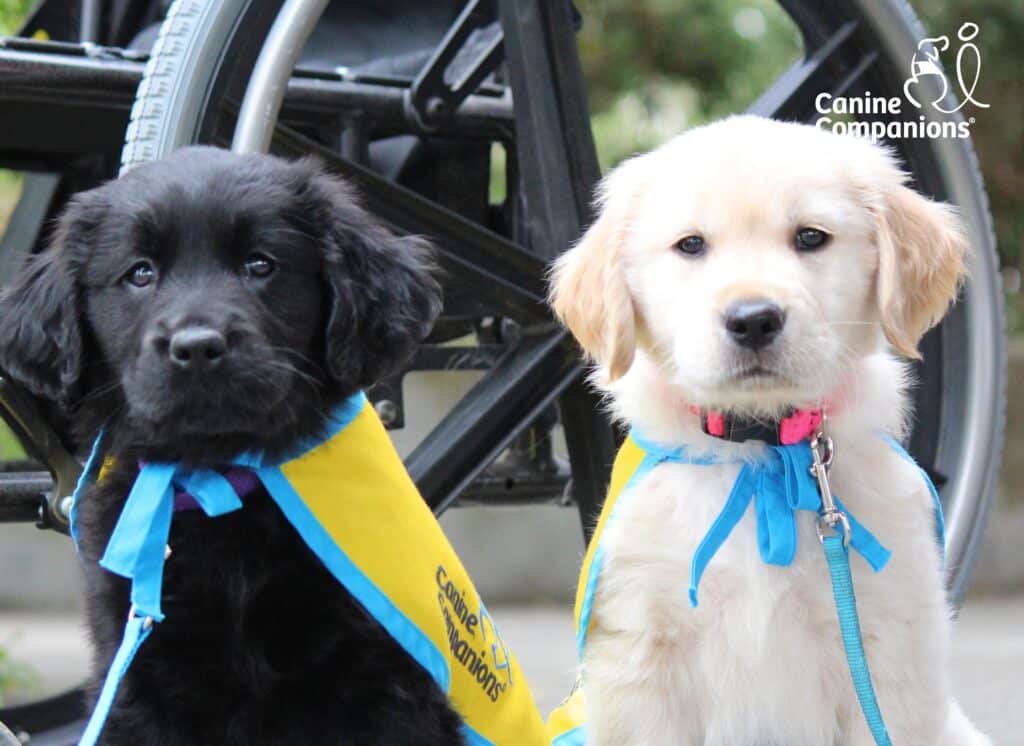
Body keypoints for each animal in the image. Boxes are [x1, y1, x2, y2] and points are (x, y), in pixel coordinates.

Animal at [0, 147, 460, 744]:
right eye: (140, 273)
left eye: (260, 265)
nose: (197, 346)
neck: (217, 479)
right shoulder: (135, 675)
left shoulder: (378, 675)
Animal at [552, 117, 991, 744]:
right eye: (691, 245)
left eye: (810, 237)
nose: (753, 319)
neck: (761, 453)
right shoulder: (641, 656)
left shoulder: (888, 647)